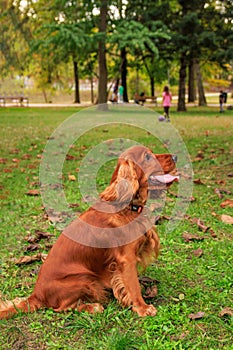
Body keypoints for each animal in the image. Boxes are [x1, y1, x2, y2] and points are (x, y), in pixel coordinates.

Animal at [0, 144, 178, 318]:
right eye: (147, 156)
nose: (176, 156)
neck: (126, 206)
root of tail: (36, 296)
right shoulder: (126, 259)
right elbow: (133, 286)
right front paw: (143, 308)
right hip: (83, 278)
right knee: (62, 308)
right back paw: (93, 307)